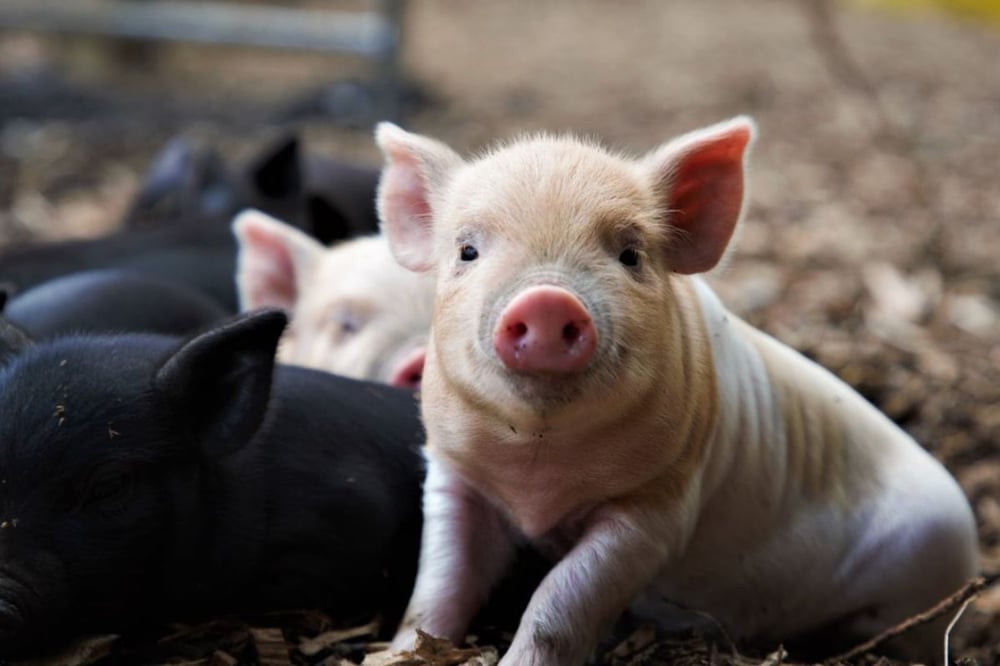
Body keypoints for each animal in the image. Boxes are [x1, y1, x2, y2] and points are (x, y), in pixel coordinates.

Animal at [374, 118, 980, 665]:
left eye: (630, 255)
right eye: (467, 252)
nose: (547, 301)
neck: (537, 475)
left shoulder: (658, 508)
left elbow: (560, 601)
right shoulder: (455, 478)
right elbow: (437, 586)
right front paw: (393, 656)